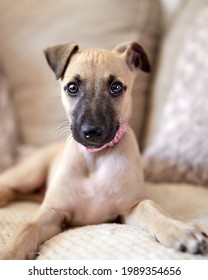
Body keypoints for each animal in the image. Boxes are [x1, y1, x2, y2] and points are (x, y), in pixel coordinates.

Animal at [0, 41, 208, 258]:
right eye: (72, 87)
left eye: (116, 87)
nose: (91, 131)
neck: (95, 158)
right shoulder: (51, 212)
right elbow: (26, 229)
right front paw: (10, 253)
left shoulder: (129, 208)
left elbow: (150, 207)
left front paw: (180, 230)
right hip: (28, 175)